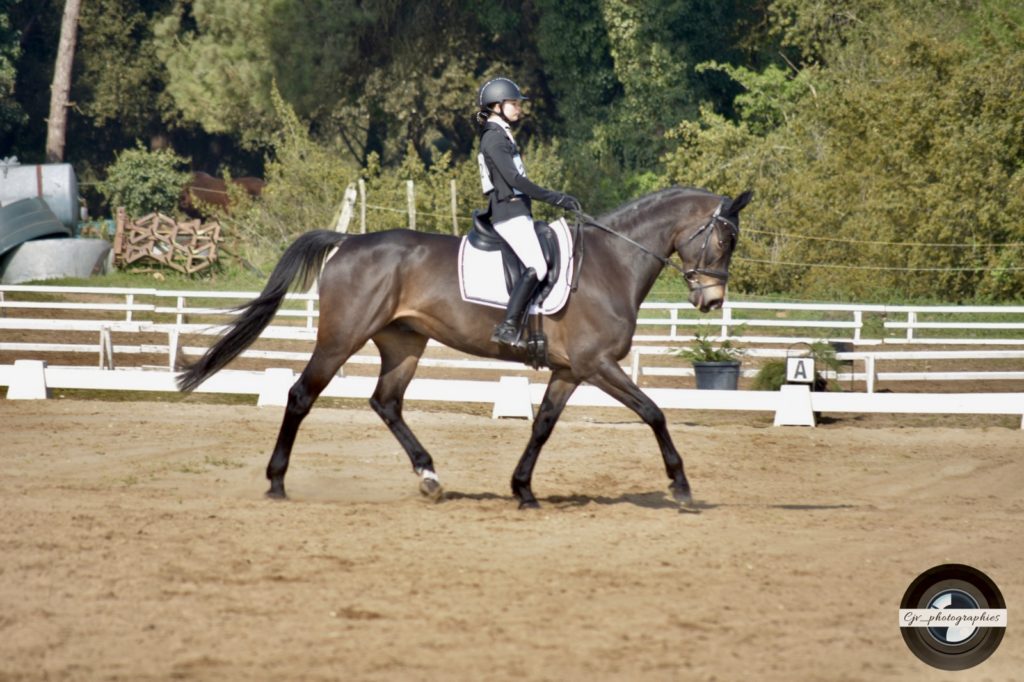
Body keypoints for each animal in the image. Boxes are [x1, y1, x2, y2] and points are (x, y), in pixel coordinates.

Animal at [176, 184, 753, 503]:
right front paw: (681, 487)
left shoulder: (571, 370)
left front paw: (523, 489)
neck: (613, 262)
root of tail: (349, 241)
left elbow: (543, 426)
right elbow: (654, 412)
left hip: (403, 343)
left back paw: (430, 477)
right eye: (725, 238)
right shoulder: (598, 364)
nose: (711, 300)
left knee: (386, 402)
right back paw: (277, 483)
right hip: (342, 337)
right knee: (301, 395)